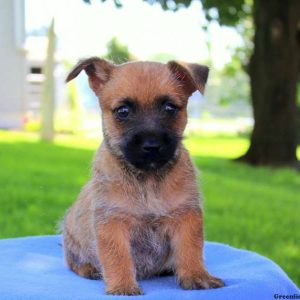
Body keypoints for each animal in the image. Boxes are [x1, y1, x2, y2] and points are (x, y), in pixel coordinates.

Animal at [62, 56, 223, 296]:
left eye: (169, 108)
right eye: (123, 111)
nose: (152, 145)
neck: (148, 180)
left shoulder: (186, 216)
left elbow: (191, 249)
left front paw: (197, 276)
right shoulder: (112, 222)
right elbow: (117, 256)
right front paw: (122, 286)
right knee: (73, 262)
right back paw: (90, 269)